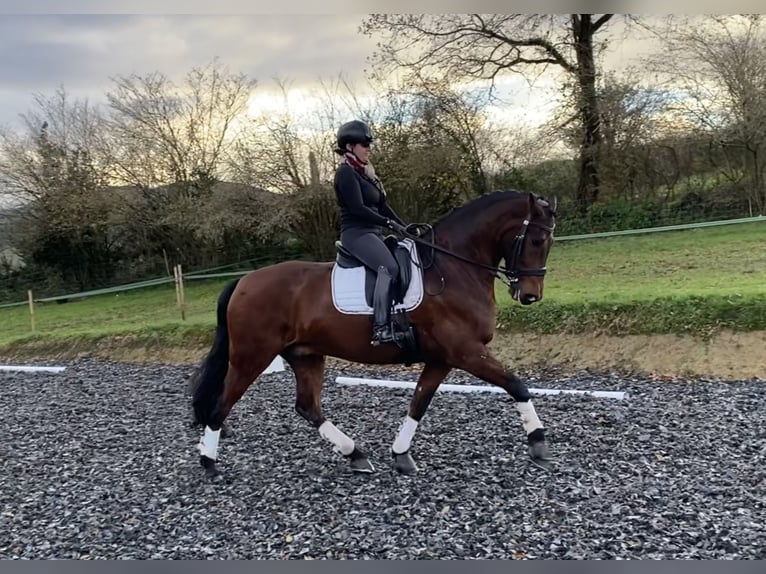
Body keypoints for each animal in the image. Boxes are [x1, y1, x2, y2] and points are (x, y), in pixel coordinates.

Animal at [190, 189, 558, 479]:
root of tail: (244, 281)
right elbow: (516, 385)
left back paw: (356, 455)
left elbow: (418, 403)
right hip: (251, 357)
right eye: (537, 240)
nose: (530, 295)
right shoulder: (466, 351)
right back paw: (209, 464)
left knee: (308, 407)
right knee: (221, 405)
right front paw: (538, 444)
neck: (453, 269)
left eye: (548, 242)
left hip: (306, 355)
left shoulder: (442, 358)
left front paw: (401, 455)